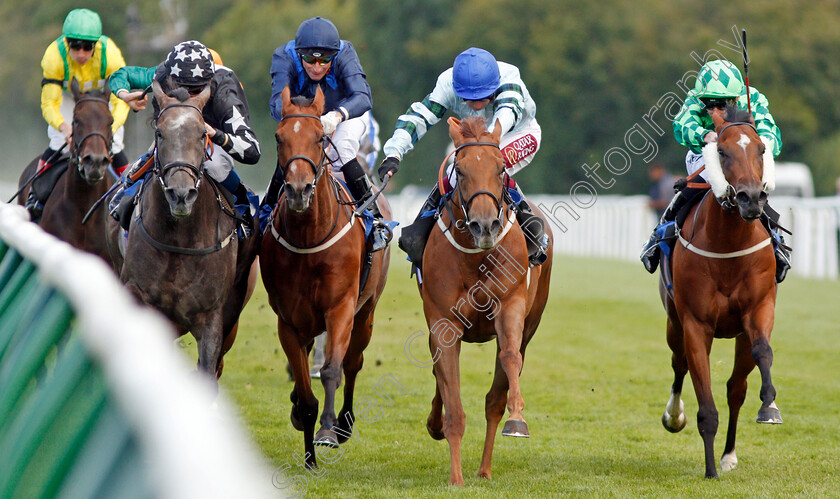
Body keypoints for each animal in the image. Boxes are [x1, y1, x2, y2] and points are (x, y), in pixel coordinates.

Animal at [114, 81, 260, 378]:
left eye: (203, 134)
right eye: (159, 132)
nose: (181, 195)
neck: (180, 240)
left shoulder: (212, 319)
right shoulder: (139, 299)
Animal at [260, 85, 392, 468]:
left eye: (320, 137)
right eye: (279, 137)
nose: (299, 189)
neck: (310, 237)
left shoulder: (340, 308)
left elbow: (334, 368)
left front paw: (328, 429)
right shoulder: (288, 320)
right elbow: (305, 390)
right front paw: (308, 454)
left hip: (366, 313)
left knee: (353, 362)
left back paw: (344, 422)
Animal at [420, 116, 552, 484]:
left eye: (501, 167)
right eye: (461, 170)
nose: (485, 226)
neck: (476, 257)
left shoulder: (511, 307)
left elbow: (509, 361)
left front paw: (517, 419)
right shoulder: (444, 324)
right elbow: (452, 398)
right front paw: (455, 478)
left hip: (531, 324)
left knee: (496, 394)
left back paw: (485, 469)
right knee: (440, 376)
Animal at [660, 106, 784, 480]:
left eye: (761, 148)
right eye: (723, 152)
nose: (751, 198)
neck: (728, 244)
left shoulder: (759, 309)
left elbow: (763, 352)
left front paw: (770, 406)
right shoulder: (695, 324)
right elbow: (705, 405)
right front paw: (710, 470)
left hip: (739, 334)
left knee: (735, 388)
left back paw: (729, 454)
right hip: (674, 323)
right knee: (679, 363)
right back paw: (675, 417)